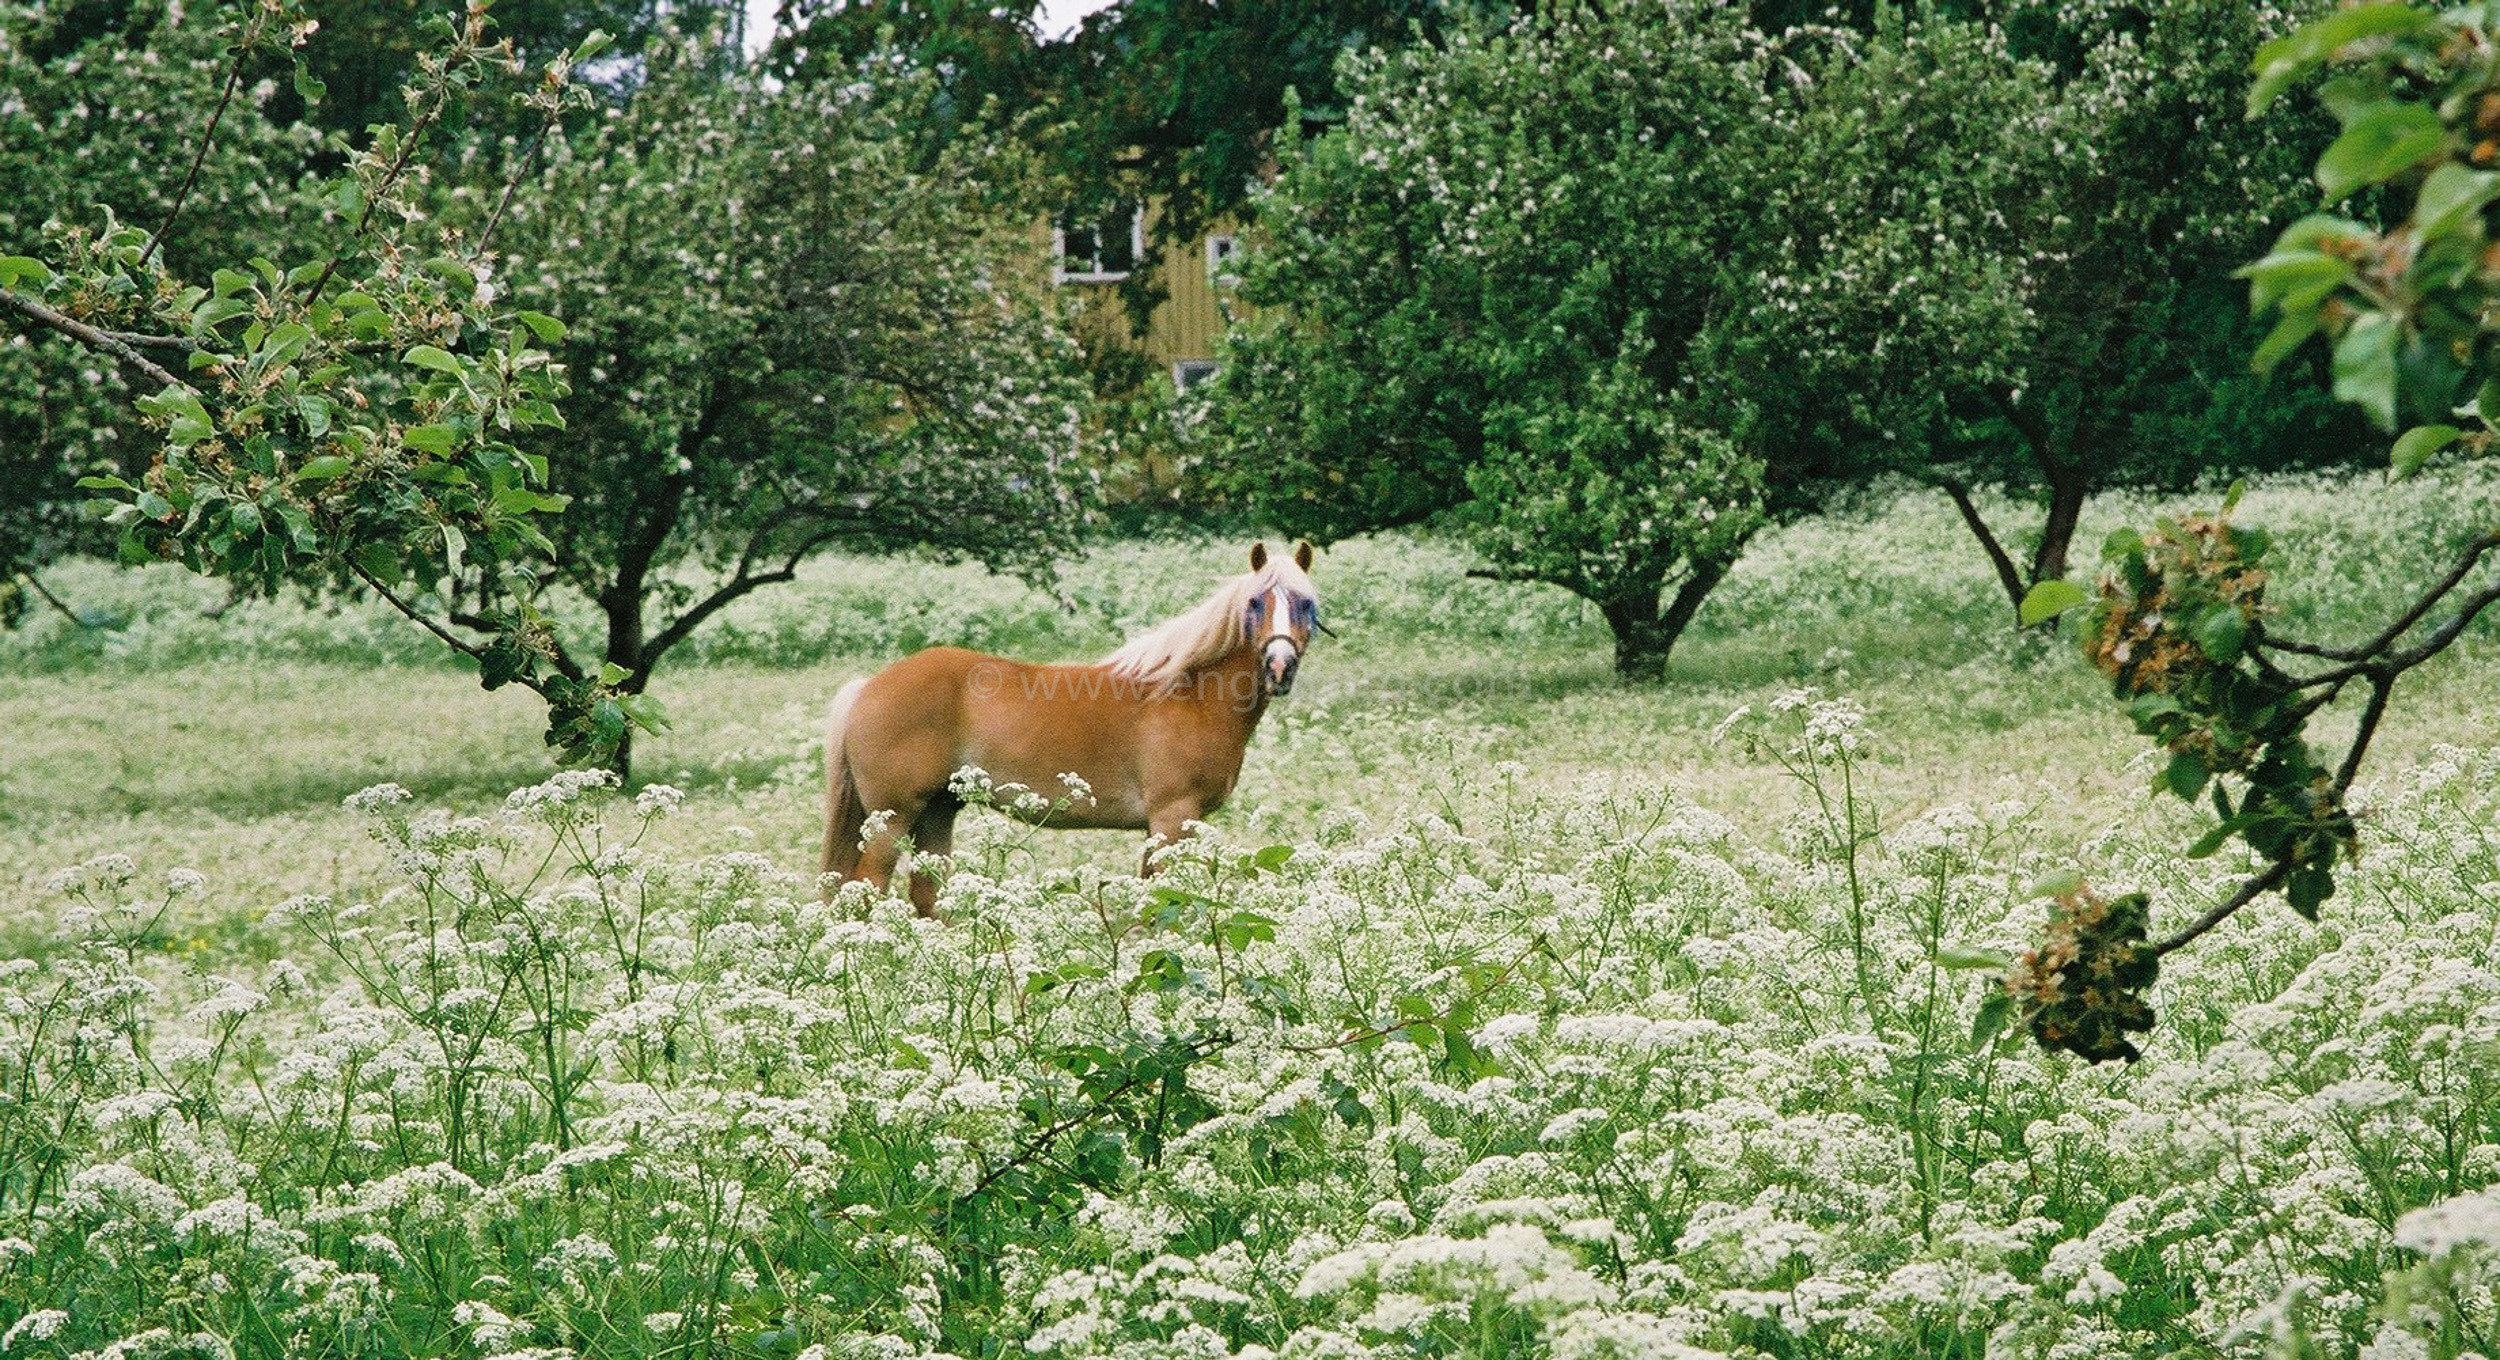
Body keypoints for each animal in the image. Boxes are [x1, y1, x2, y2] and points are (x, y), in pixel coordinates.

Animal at [820, 542, 1330, 915]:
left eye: (1306, 603)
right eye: (1255, 602)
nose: (1279, 666)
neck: (1190, 694)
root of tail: (868, 686)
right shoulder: (1171, 818)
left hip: (938, 810)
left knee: (928, 893)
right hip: (892, 818)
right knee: (866, 889)